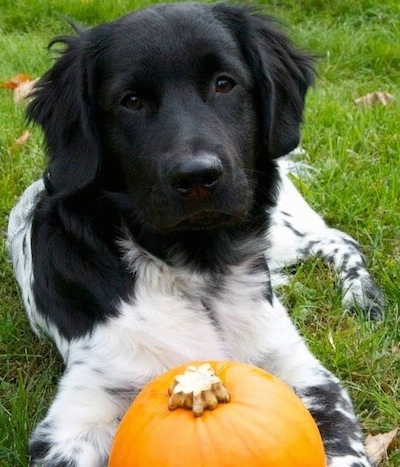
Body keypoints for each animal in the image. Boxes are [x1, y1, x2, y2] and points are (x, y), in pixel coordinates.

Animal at [8, 1, 384, 466]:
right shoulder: (75, 415)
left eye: (224, 83)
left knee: (338, 239)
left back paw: (362, 299)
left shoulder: (306, 374)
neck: (196, 271)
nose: (198, 176)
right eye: (131, 101)